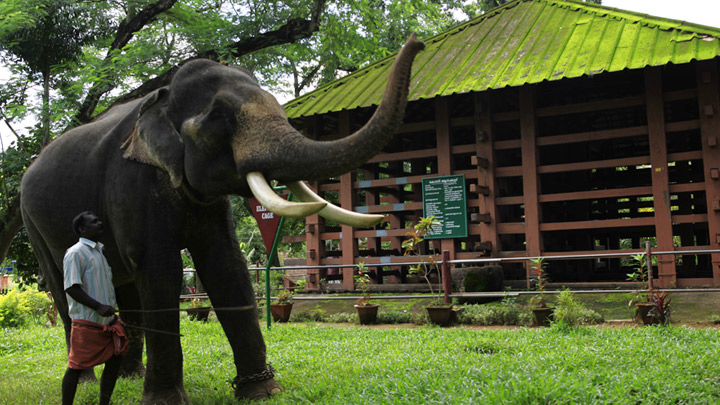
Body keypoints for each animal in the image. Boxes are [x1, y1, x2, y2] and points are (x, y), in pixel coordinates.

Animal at [19, 34, 424, 400]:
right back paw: (89, 381)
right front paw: (165, 400)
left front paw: (262, 391)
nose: (417, 42)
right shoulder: (131, 182)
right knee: (64, 287)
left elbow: (225, 265)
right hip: (32, 223)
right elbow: (159, 267)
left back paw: (130, 377)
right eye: (219, 117)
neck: (162, 97)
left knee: (125, 284)